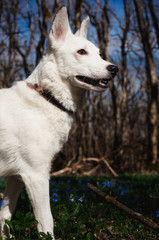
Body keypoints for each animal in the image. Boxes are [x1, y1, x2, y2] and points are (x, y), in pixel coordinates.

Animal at [0, 6, 117, 239]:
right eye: (81, 52)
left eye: (99, 54)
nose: (114, 69)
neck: (47, 97)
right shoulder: (36, 175)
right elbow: (46, 222)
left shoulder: (16, 177)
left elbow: (5, 214)